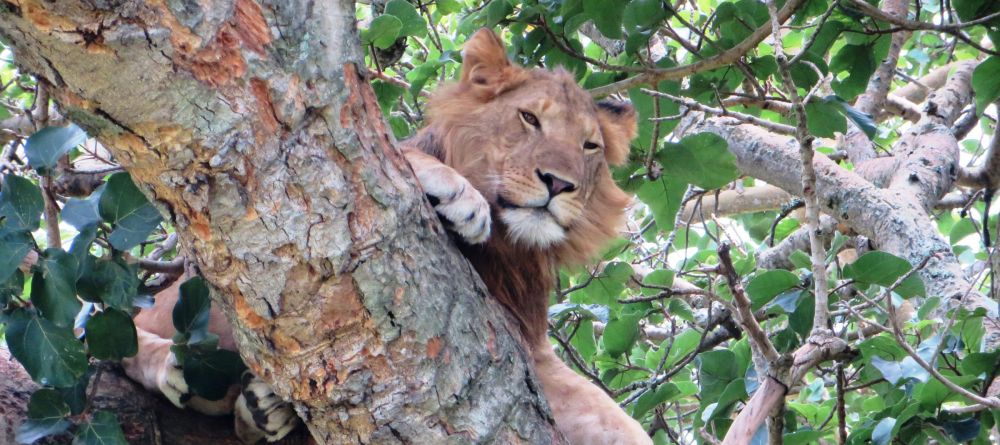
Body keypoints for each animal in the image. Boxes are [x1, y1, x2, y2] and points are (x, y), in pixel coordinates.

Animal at [123, 28, 650, 445]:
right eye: (529, 118)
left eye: (589, 145)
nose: (559, 184)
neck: (509, 244)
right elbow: (388, 154)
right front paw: (459, 194)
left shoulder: (526, 340)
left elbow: (616, 423)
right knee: (123, 338)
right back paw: (175, 370)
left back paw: (261, 409)